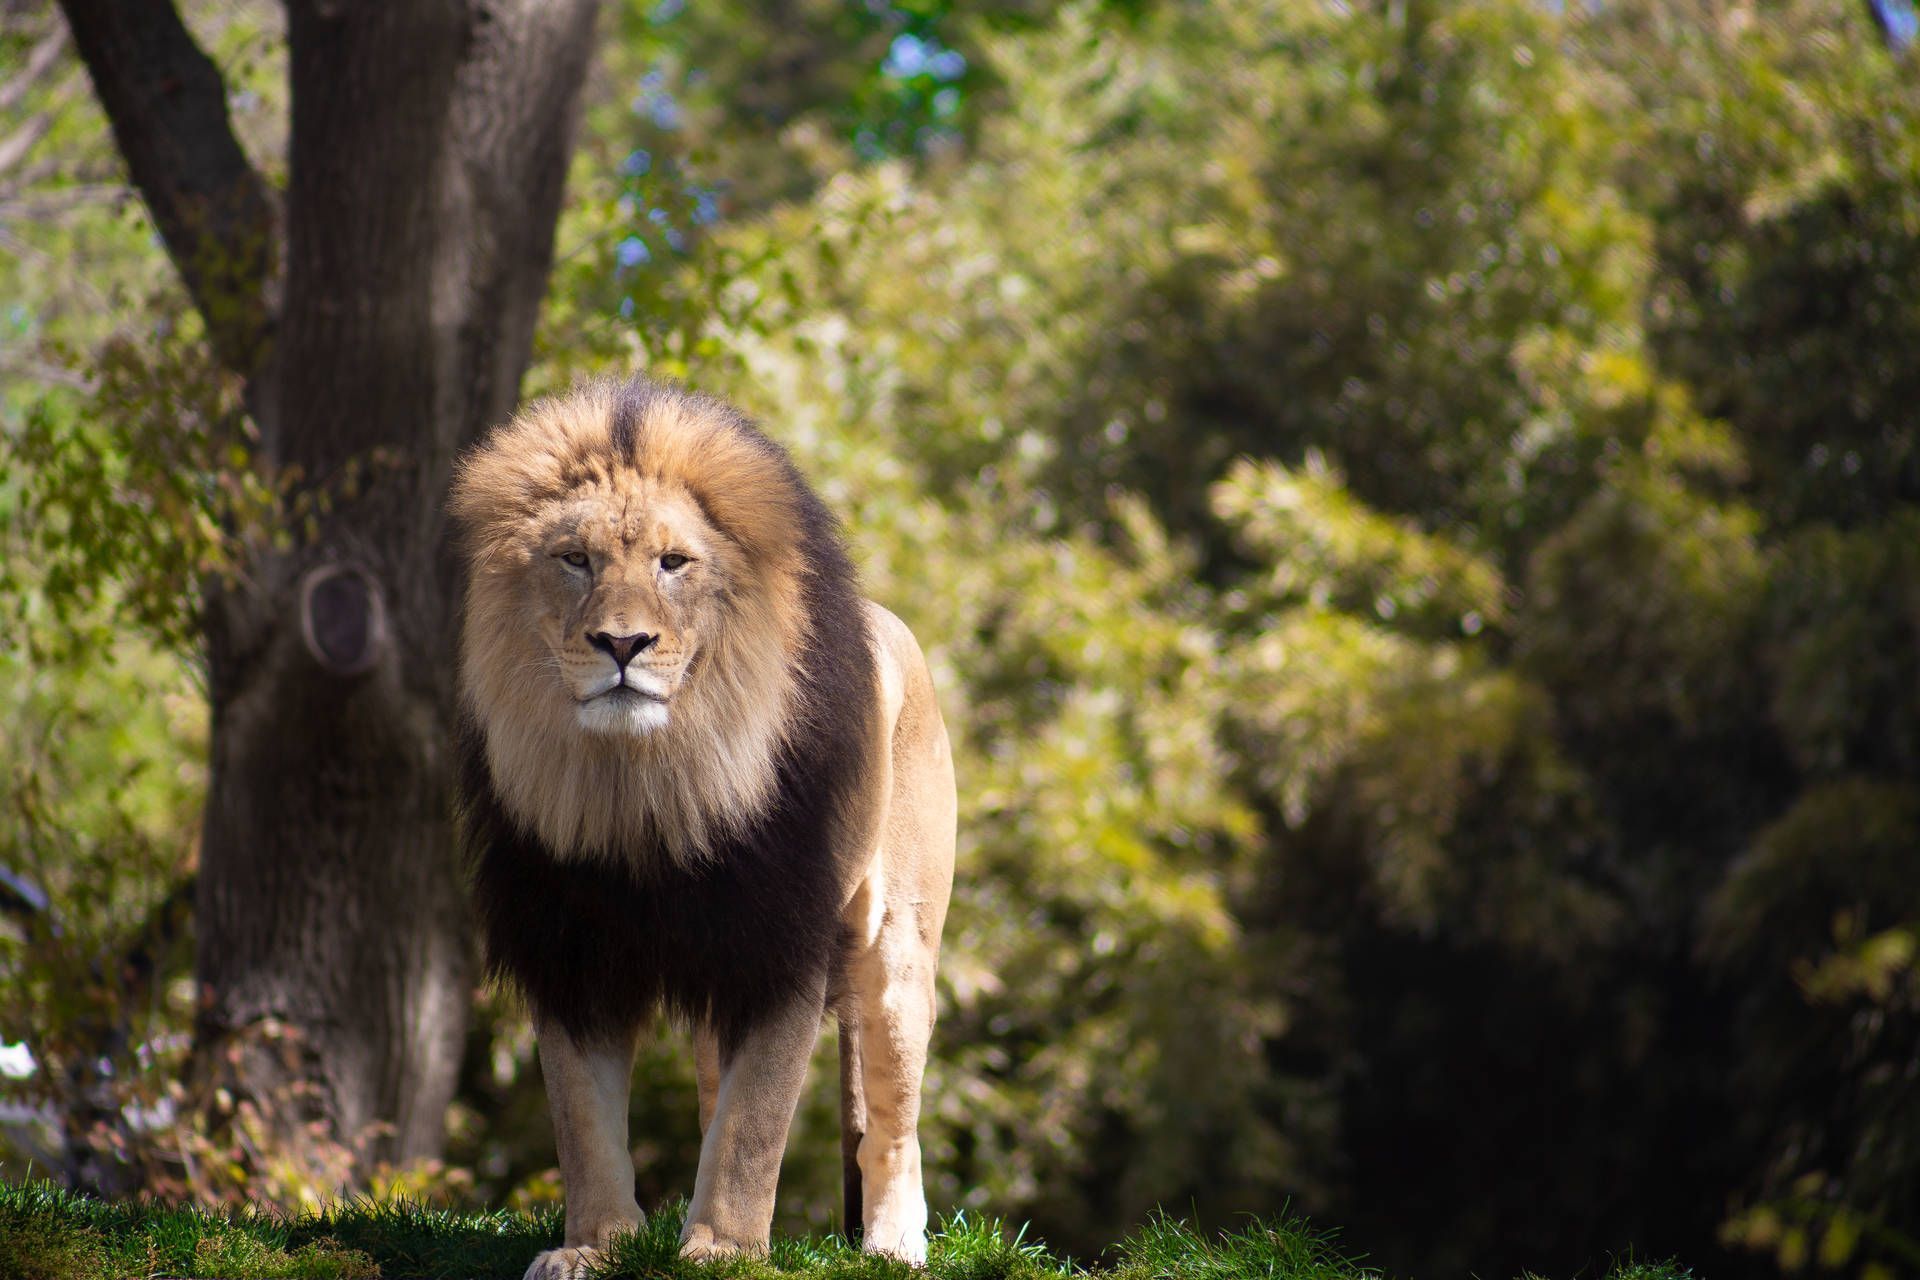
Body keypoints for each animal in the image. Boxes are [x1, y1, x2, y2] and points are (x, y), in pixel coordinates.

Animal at [448, 378, 956, 1280]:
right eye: (575, 560)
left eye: (673, 563)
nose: (621, 643)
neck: (648, 783)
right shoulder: (570, 946)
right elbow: (585, 1123)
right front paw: (595, 1246)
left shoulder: (780, 940)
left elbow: (755, 1125)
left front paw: (722, 1251)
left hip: (896, 952)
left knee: (892, 1126)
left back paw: (894, 1244)